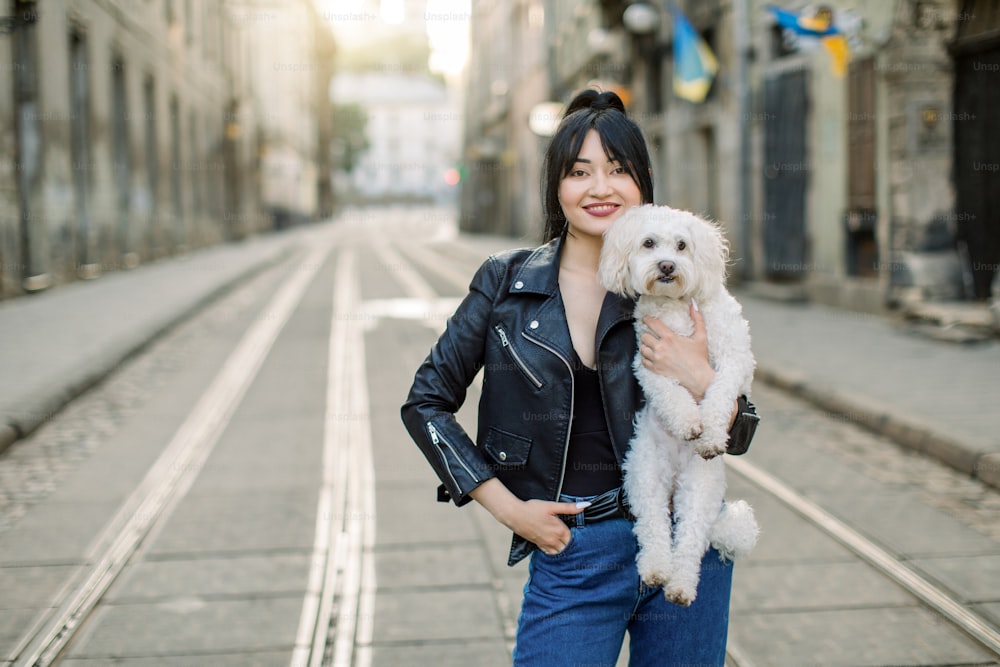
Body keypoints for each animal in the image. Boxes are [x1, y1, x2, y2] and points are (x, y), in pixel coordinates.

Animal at [600, 204, 756, 604]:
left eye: (683, 245)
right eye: (648, 243)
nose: (667, 265)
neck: (676, 307)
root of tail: (674, 483)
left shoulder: (734, 359)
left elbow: (718, 395)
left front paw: (711, 435)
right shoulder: (648, 362)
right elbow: (670, 393)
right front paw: (687, 422)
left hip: (700, 489)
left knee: (690, 541)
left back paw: (681, 585)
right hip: (644, 475)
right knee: (653, 529)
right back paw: (657, 570)